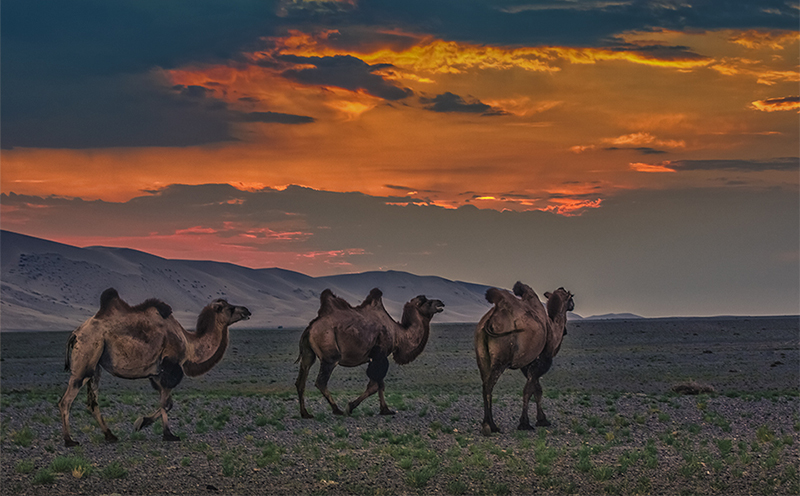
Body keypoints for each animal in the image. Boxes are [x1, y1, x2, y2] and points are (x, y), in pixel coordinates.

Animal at [58, 288, 251, 447]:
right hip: (87, 356)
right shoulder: (171, 366)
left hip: (96, 364)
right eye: (229, 308)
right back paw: (69, 440)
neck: (188, 344)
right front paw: (167, 434)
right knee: (66, 400)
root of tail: (76, 333)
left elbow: (168, 403)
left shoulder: (157, 373)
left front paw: (142, 423)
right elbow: (166, 403)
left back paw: (110, 435)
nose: (247, 310)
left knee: (92, 401)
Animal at [295, 288, 444, 418]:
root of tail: (309, 328)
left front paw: (385, 410)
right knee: (321, 381)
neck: (398, 333)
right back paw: (337, 410)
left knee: (300, 381)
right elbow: (375, 385)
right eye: (428, 302)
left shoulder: (378, 357)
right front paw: (350, 407)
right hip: (330, 353)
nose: (441, 303)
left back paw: (305, 413)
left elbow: (380, 385)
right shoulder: (379, 355)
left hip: (308, 354)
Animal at [475, 282, 573, 436]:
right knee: (489, 386)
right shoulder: (541, 361)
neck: (553, 329)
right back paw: (490, 426)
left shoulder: (527, 364)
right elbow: (529, 391)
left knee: (485, 385)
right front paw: (525, 423)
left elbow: (536, 389)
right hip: (501, 360)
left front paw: (541, 420)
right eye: (571, 297)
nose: (573, 305)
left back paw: (488, 425)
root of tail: (489, 320)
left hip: (482, 357)